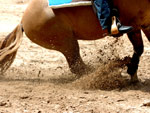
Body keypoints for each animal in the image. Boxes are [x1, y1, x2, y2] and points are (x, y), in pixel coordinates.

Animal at [0, 0, 150, 83]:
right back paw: (115, 65)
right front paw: (131, 70)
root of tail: (22, 22)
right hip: (67, 43)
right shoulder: (135, 24)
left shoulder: (144, 24)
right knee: (77, 67)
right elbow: (139, 48)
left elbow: (139, 48)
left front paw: (133, 72)